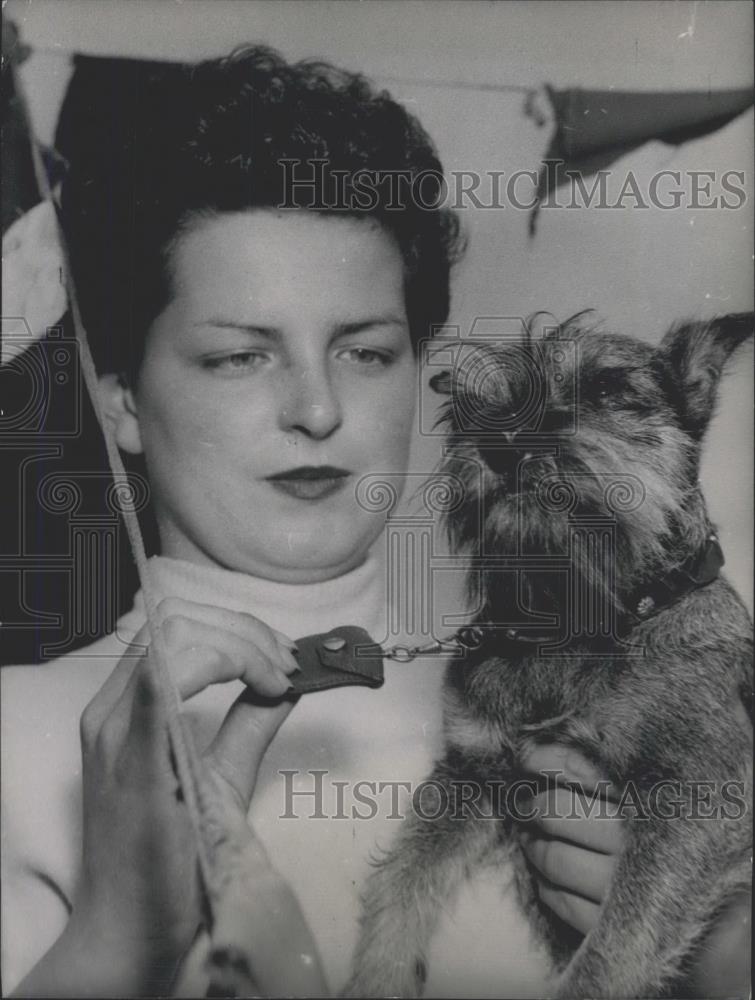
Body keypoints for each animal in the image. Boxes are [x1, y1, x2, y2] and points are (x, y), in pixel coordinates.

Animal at [346, 314, 752, 1000]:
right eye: (472, 409)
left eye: (609, 388)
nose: (504, 443)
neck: (575, 613)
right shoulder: (473, 774)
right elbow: (400, 884)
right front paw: (376, 977)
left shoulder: (695, 799)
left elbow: (612, 948)